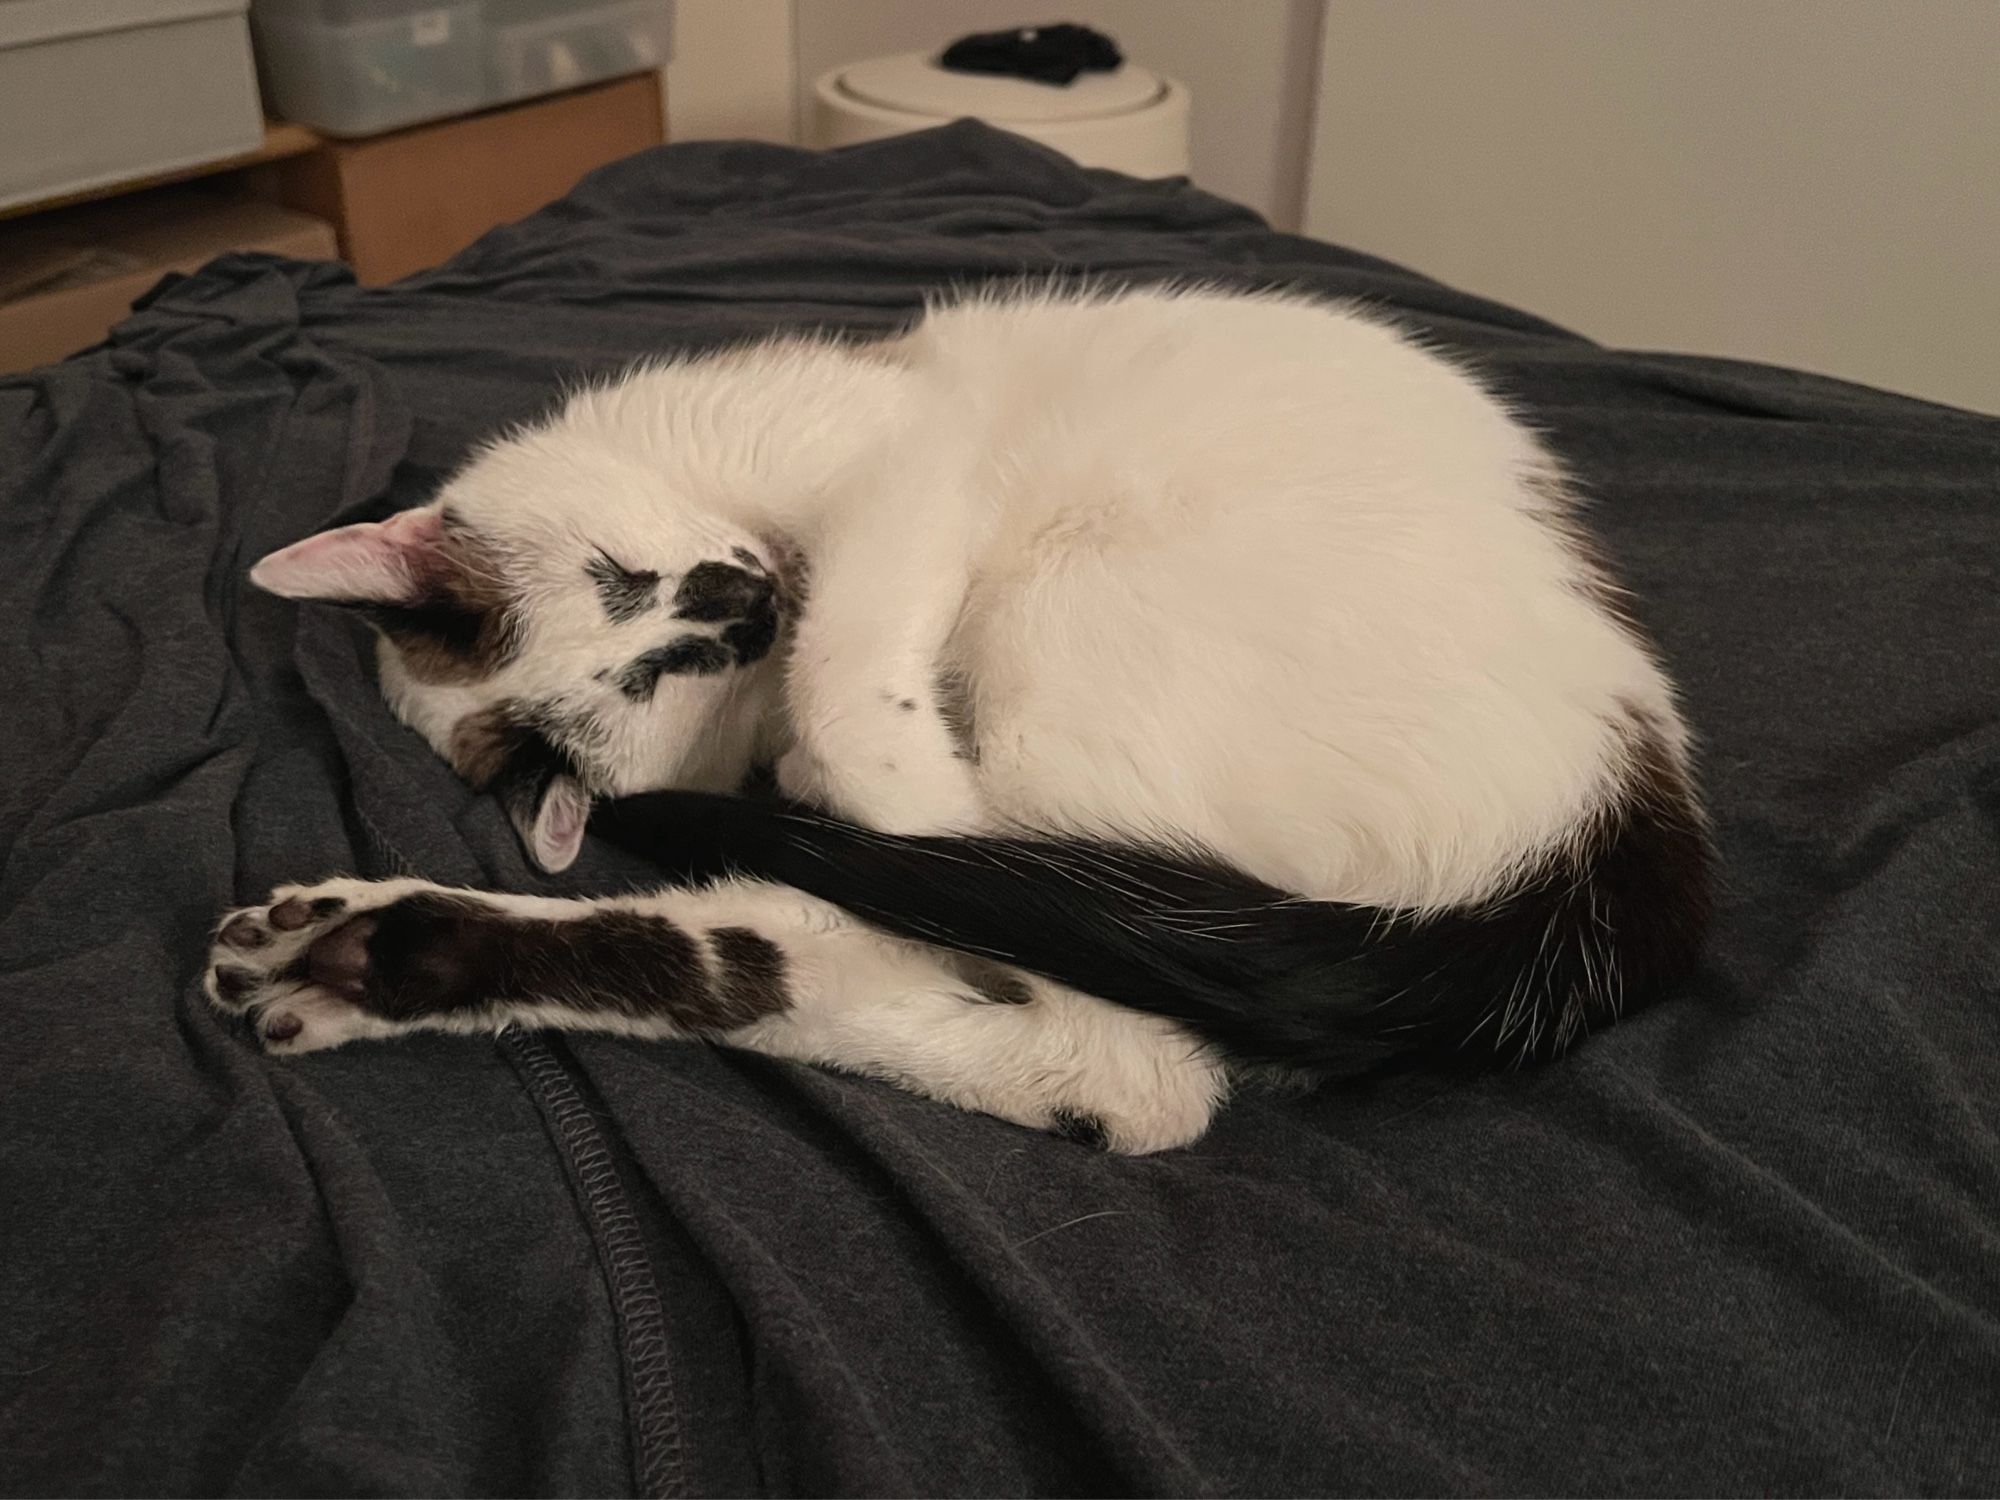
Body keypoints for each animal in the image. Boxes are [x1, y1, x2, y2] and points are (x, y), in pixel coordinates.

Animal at [207, 284, 1720, 1152]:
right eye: (651, 671)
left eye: (620, 583)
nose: (741, 605)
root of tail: (1627, 821)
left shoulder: (900, 456)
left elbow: (849, 689)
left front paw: (907, 791)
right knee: (1099, 1066)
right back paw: (354, 954)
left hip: (1072, 600)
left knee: (1100, 1032)